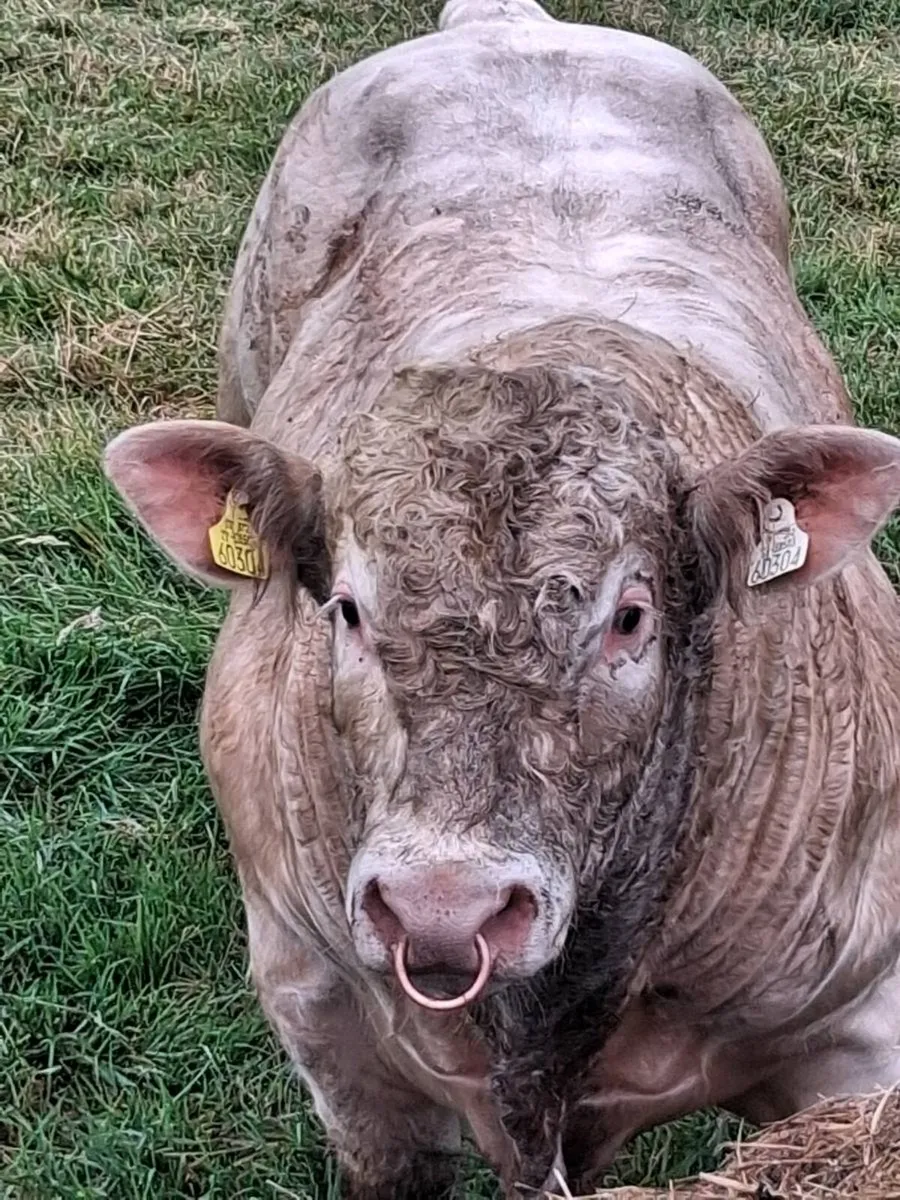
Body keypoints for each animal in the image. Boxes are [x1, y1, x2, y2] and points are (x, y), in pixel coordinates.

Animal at [103, 1, 900, 1196]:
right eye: (344, 608)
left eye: (630, 617)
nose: (445, 907)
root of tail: (507, 22)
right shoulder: (331, 1030)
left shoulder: (854, 1031)